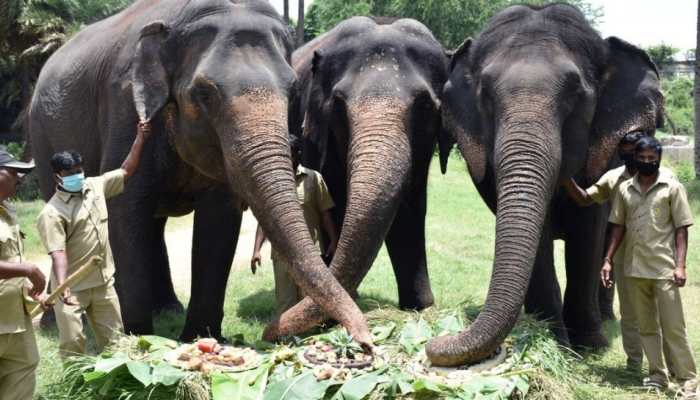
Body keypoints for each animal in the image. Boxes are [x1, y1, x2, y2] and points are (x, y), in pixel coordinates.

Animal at [27, 0, 371, 345]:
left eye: (294, 90)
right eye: (204, 94)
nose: (365, 339)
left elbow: (219, 217)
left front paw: (199, 337)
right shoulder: (123, 107)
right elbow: (125, 210)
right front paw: (139, 338)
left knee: (155, 223)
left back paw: (168, 310)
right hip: (42, 136)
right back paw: (53, 324)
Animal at [263, 16, 451, 339]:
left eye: (426, 106)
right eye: (338, 104)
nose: (268, 331)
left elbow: (412, 209)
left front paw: (420, 307)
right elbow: (333, 205)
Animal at [427, 3, 663, 366]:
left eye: (576, 96)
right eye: (485, 96)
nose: (433, 344)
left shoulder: (605, 152)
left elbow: (589, 230)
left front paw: (589, 346)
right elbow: (538, 236)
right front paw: (552, 339)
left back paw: (606, 320)